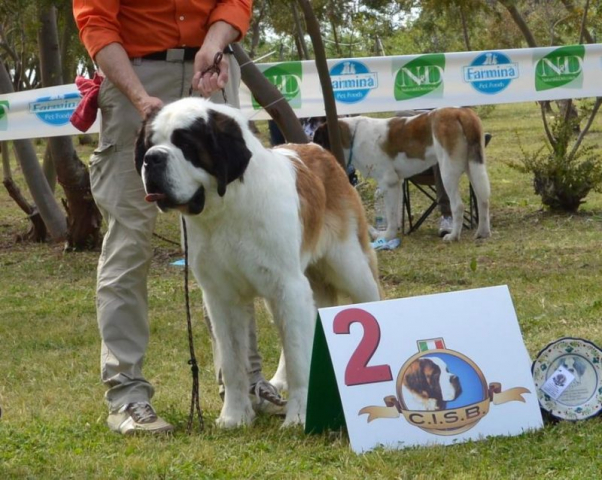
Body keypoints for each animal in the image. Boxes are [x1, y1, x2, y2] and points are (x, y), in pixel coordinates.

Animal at [135, 97, 380, 428]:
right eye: (149, 144)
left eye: (185, 143)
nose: (152, 159)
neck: (226, 209)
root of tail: (317, 149)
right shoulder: (221, 297)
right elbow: (232, 360)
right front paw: (234, 416)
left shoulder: (287, 286)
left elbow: (298, 354)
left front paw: (299, 416)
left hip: (350, 266)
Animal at [312, 109, 490, 244]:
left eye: (318, 140)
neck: (353, 138)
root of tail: (461, 112)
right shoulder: (397, 183)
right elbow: (395, 211)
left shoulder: (388, 182)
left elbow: (390, 213)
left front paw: (387, 236)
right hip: (474, 166)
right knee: (483, 199)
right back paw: (483, 232)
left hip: (447, 171)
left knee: (458, 205)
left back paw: (453, 236)